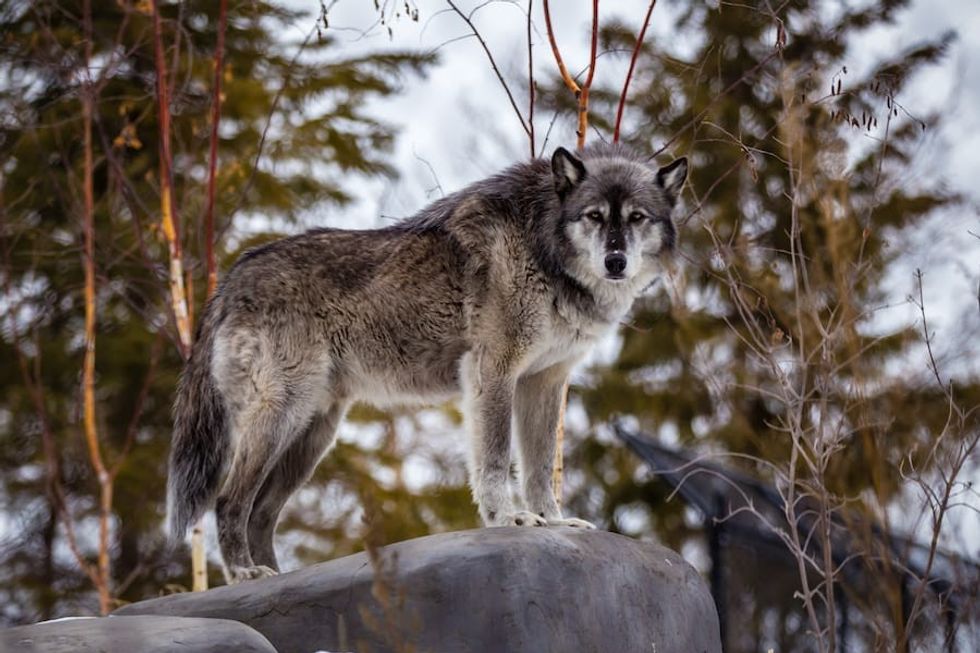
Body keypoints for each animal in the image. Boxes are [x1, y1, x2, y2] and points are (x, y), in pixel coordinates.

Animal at [167, 142, 688, 583]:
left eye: (637, 218)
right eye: (594, 216)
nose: (616, 262)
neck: (543, 244)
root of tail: (231, 278)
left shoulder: (545, 381)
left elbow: (540, 468)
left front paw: (555, 521)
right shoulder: (493, 371)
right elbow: (494, 461)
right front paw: (510, 519)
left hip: (313, 436)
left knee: (261, 513)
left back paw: (276, 577)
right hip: (282, 416)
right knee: (229, 500)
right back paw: (245, 573)